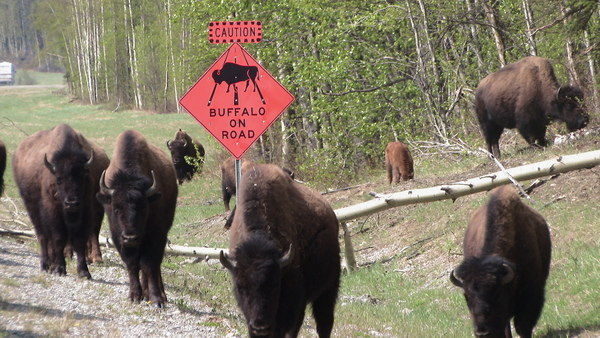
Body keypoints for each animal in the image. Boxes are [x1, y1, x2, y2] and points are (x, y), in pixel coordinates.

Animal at [12, 123, 109, 278]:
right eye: (59, 180)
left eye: (82, 177)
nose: (71, 203)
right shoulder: (53, 211)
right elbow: (58, 238)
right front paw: (59, 269)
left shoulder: (85, 208)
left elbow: (79, 239)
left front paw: (84, 271)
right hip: (32, 207)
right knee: (42, 236)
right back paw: (45, 266)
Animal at [96, 130, 178, 308]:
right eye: (116, 208)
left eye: (143, 207)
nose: (130, 237)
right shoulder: (119, 238)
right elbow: (132, 264)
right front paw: (134, 296)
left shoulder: (155, 236)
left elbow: (149, 265)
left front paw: (157, 300)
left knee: (154, 266)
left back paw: (159, 295)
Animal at [220, 163, 342, 336]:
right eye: (240, 286)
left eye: (274, 284)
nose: (260, 327)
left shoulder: (290, 299)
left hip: (328, 289)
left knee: (323, 322)